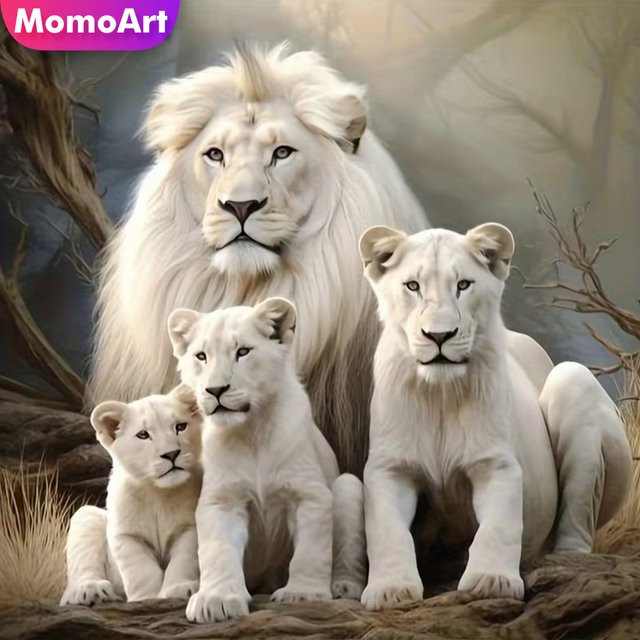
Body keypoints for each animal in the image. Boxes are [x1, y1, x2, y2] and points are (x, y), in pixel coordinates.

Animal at [60, 385, 203, 605]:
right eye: (143, 435)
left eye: (180, 426)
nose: (171, 454)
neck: (157, 493)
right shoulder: (126, 535)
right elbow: (141, 571)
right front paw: (147, 598)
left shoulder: (189, 527)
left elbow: (184, 560)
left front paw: (179, 588)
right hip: (87, 516)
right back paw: (91, 590)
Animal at [167, 298, 367, 623]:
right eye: (201, 356)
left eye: (243, 352)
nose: (216, 390)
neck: (251, 431)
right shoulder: (221, 500)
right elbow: (218, 551)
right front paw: (216, 599)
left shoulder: (308, 495)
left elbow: (310, 552)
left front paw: (303, 594)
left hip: (347, 485)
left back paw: (343, 586)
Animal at [357, 222, 632, 609]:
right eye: (412, 286)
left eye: (463, 285)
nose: (439, 335)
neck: (440, 395)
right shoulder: (390, 467)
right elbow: (386, 529)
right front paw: (390, 590)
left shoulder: (495, 463)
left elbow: (499, 524)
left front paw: (490, 582)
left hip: (573, 379)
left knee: (578, 518)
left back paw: (562, 565)